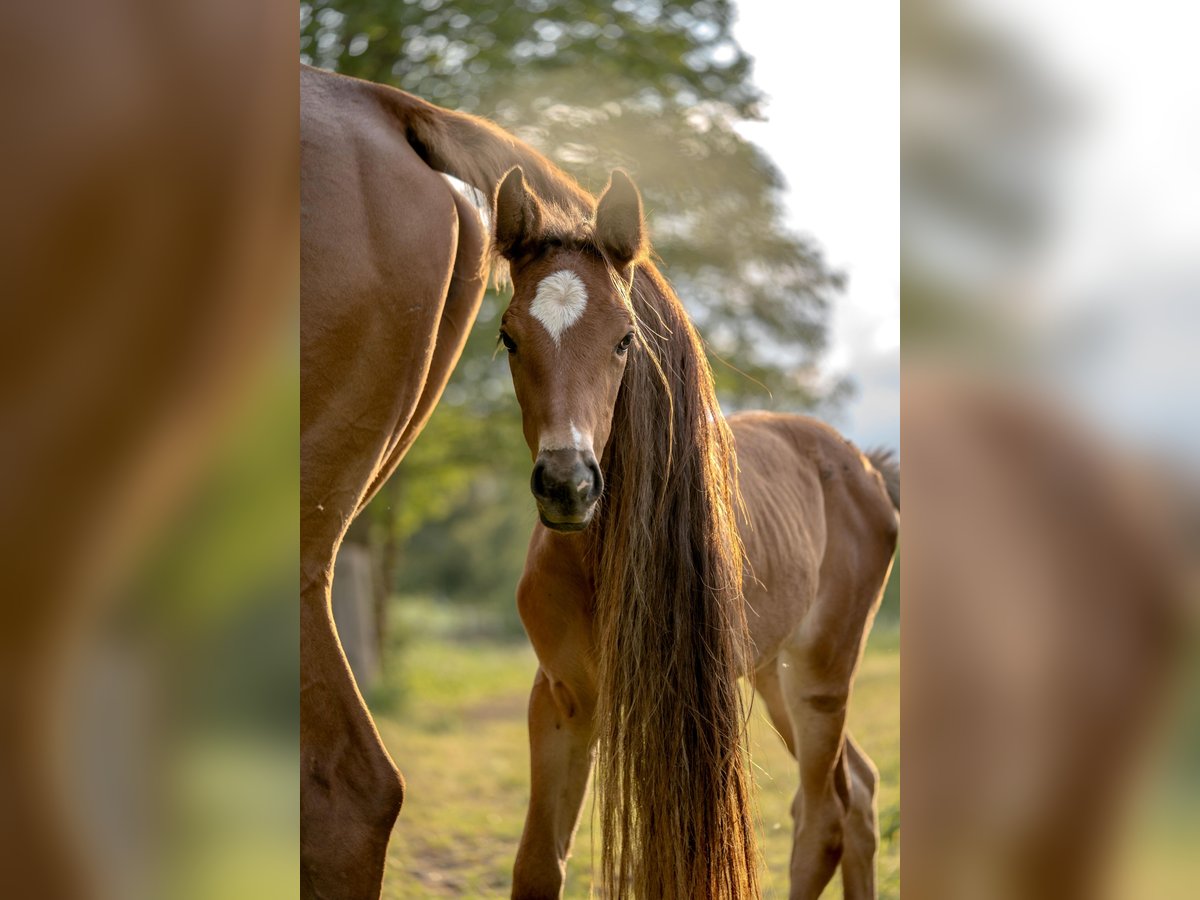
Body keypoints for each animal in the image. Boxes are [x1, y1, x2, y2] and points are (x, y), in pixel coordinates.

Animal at [492, 165, 897, 897]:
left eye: (625, 338)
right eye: (510, 336)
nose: (568, 484)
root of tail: (864, 466)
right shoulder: (562, 699)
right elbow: (537, 864)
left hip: (821, 677)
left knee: (824, 817)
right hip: (772, 672)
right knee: (858, 792)